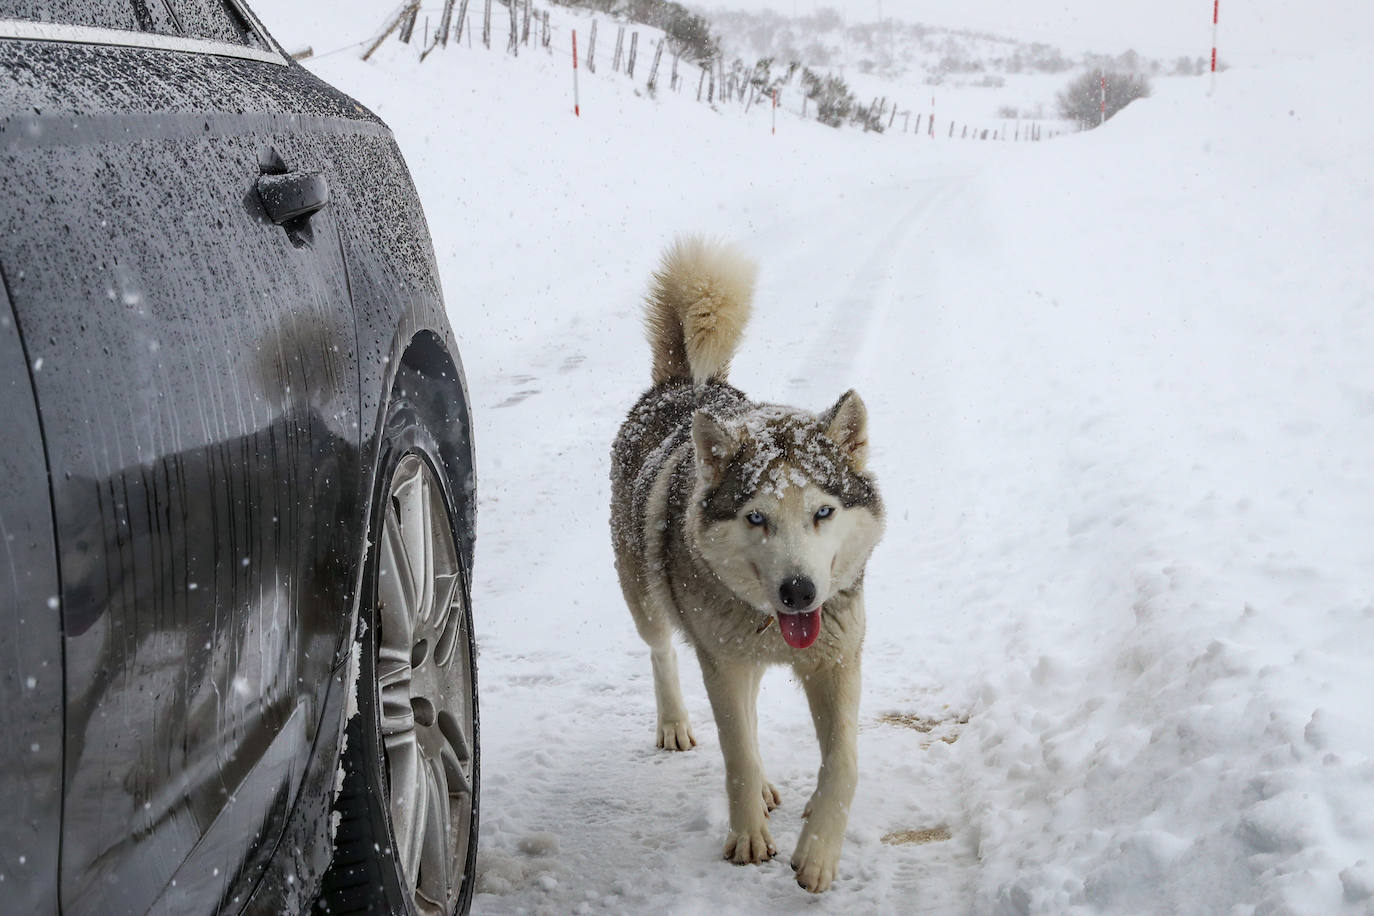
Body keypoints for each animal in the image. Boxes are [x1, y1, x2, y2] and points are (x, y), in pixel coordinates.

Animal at [612, 236, 890, 895]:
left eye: (823, 511)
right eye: (757, 517)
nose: (798, 592)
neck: (773, 625)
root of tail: (683, 384)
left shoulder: (837, 659)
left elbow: (843, 761)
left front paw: (818, 852)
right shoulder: (723, 662)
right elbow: (735, 751)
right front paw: (746, 839)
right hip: (647, 602)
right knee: (662, 652)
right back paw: (676, 725)